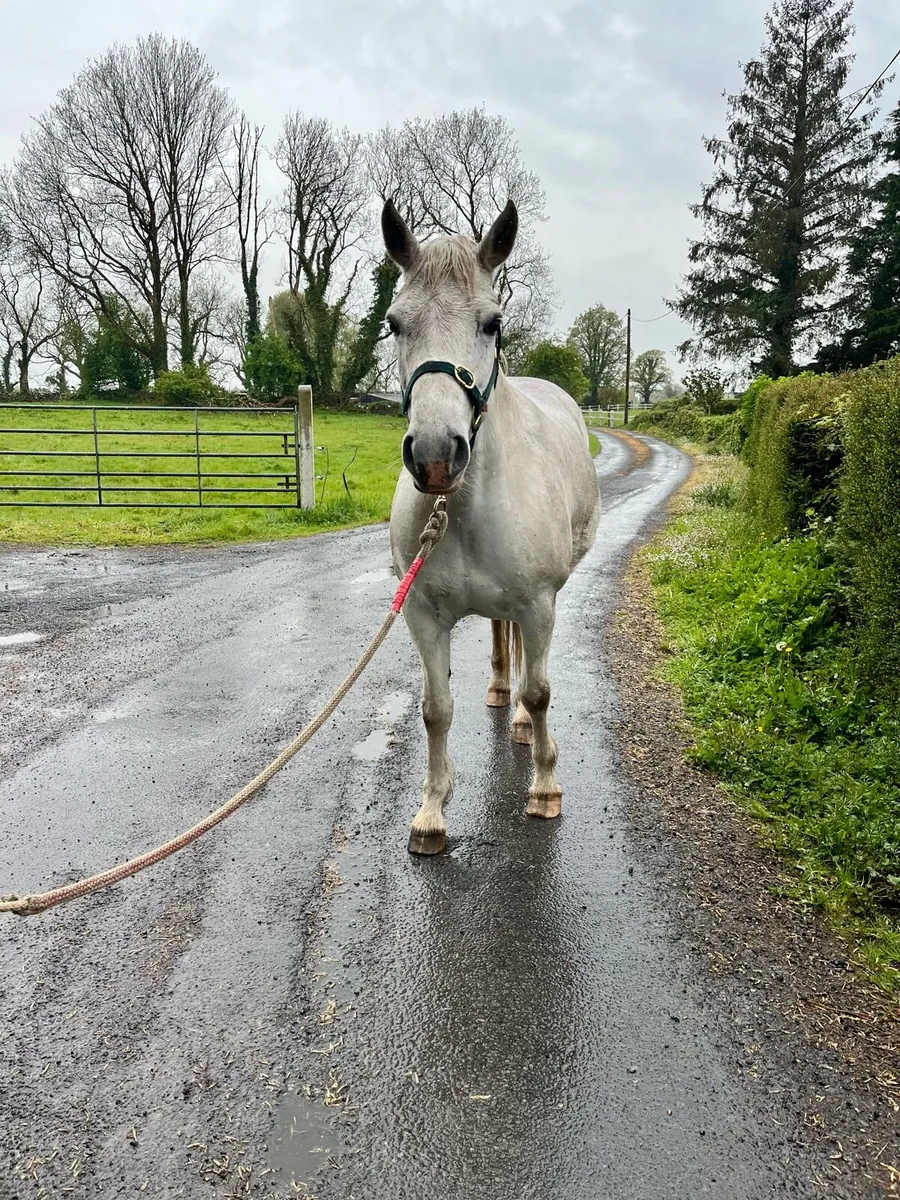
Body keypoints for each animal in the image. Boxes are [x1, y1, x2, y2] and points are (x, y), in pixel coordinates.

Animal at [383, 198, 600, 855]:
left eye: (492, 323)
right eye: (394, 323)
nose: (435, 456)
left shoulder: (538, 604)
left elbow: (542, 690)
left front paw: (545, 787)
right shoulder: (422, 613)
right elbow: (436, 708)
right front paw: (432, 811)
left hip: (542, 603)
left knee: (530, 674)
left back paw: (525, 724)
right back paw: (501, 691)